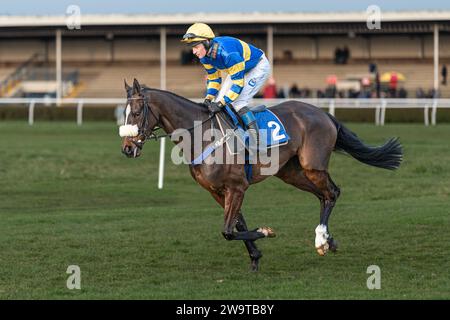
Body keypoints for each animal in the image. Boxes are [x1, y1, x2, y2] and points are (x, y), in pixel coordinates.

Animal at [121, 79, 402, 272]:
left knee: (332, 192)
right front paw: (255, 257)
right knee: (323, 195)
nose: (127, 148)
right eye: (123, 113)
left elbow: (228, 230)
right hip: (291, 172)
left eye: (135, 112)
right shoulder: (217, 191)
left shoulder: (237, 187)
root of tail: (324, 114)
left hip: (312, 166)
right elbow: (237, 224)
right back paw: (328, 240)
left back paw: (321, 238)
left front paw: (266, 232)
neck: (201, 135)